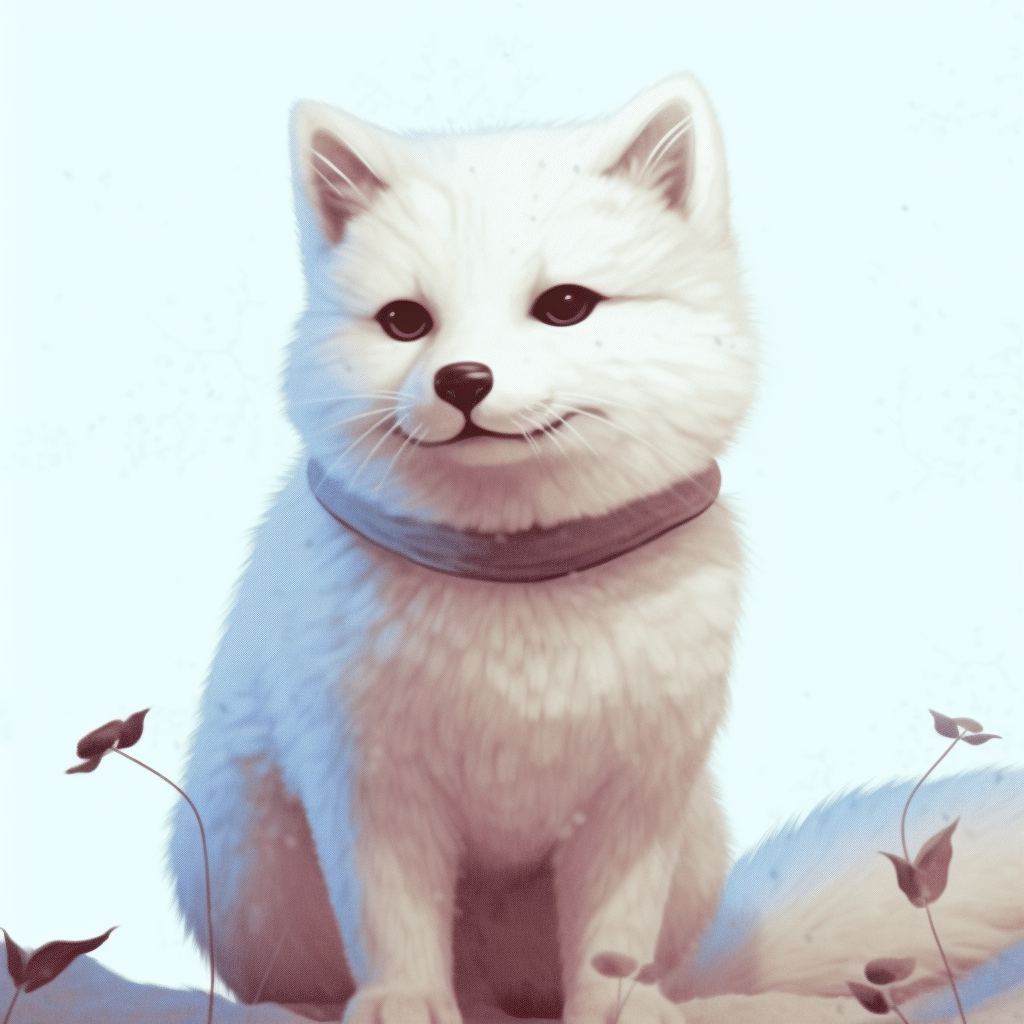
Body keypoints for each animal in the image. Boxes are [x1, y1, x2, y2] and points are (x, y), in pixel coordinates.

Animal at [159, 76, 1024, 1024]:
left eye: (566, 305)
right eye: (404, 321)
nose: (462, 380)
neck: (522, 586)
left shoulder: (636, 798)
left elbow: (613, 936)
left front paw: (621, 1008)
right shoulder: (369, 785)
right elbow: (392, 919)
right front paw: (405, 1004)